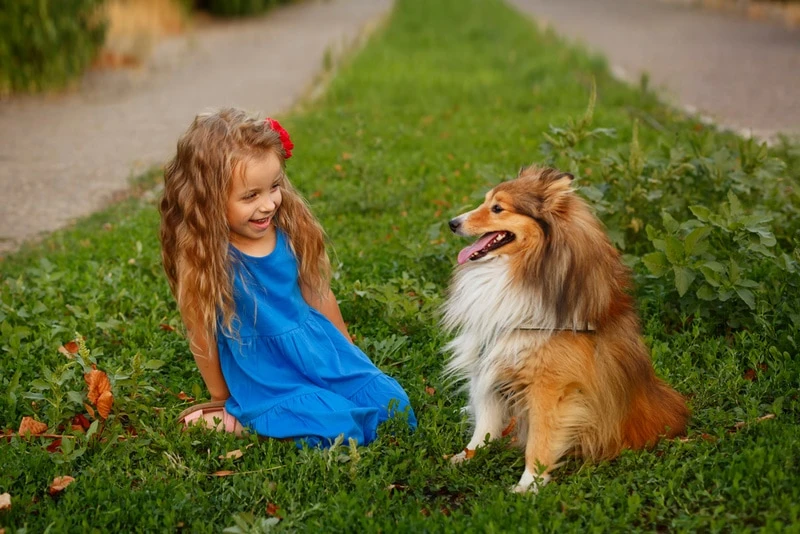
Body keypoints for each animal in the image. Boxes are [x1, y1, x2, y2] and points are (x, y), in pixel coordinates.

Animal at [444, 166, 688, 494]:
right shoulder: (490, 362)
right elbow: (485, 425)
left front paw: (529, 485)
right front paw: (466, 456)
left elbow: (540, 439)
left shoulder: (550, 386)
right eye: (485, 202)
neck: (521, 271)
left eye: (497, 208)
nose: (452, 223)